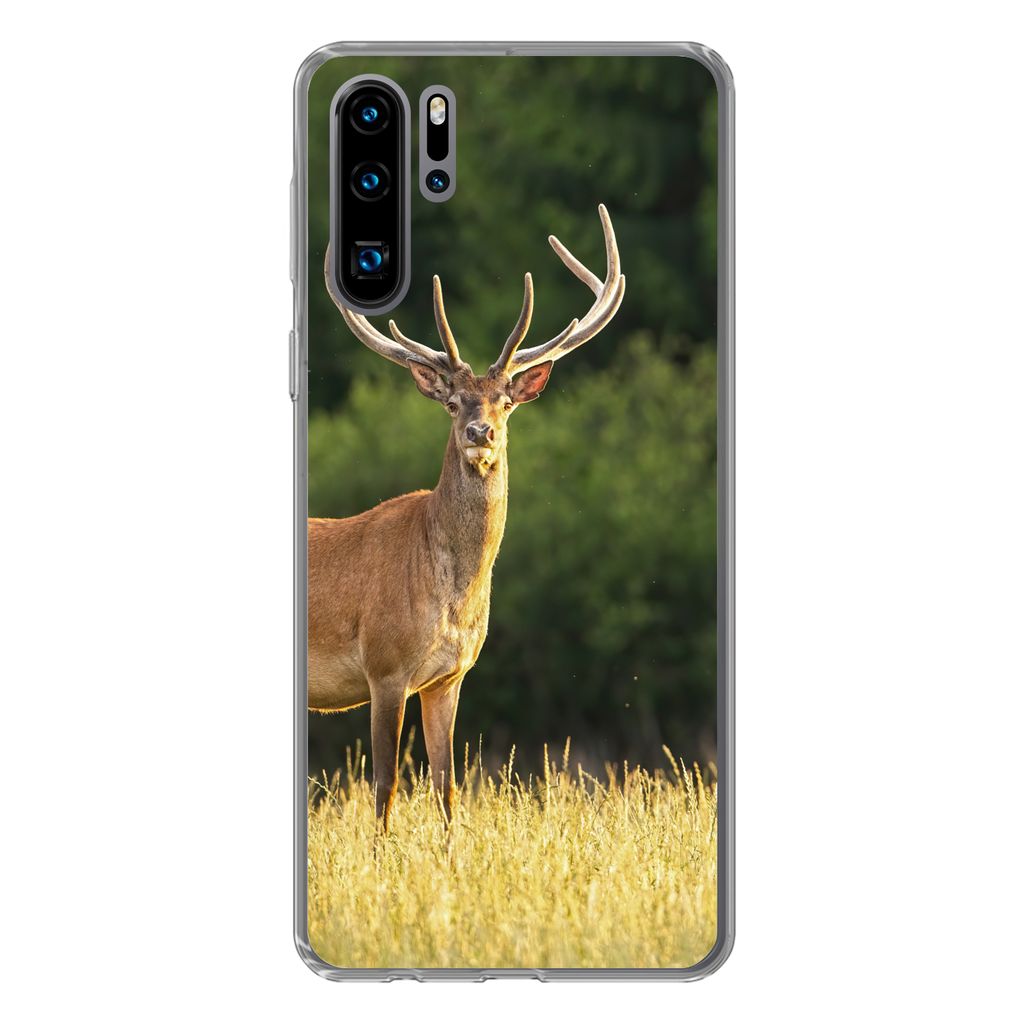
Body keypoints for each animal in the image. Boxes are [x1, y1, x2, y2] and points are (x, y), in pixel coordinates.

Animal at [308, 204, 625, 830]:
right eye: (453, 402)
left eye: (505, 401)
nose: (481, 432)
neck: (451, 597)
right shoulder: (384, 665)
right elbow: (385, 785)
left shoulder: (449, 676)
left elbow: (447, 787)